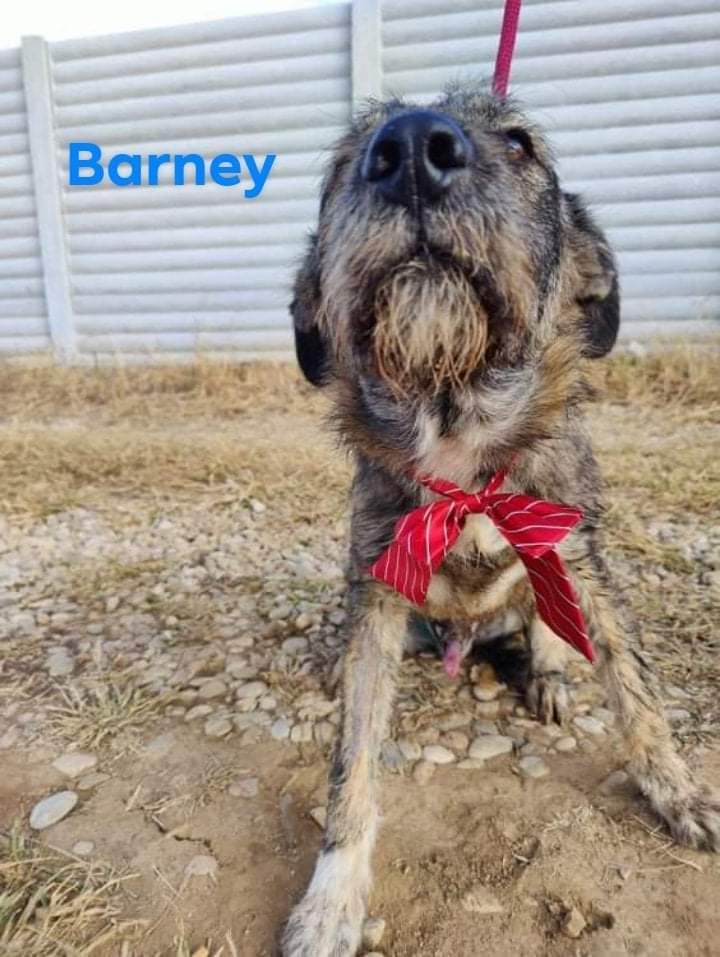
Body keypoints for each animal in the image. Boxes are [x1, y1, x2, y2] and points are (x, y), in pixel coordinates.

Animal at [282, 84, 720, 956]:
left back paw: (546, 674)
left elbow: (636, 686)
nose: (412, 148)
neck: (459, 433)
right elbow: (352, 758)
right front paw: (331, 897)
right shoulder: (378, 585)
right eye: (344, 163)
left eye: (520, 144)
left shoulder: (578, 550)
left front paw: (677, 789)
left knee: (544, 627)